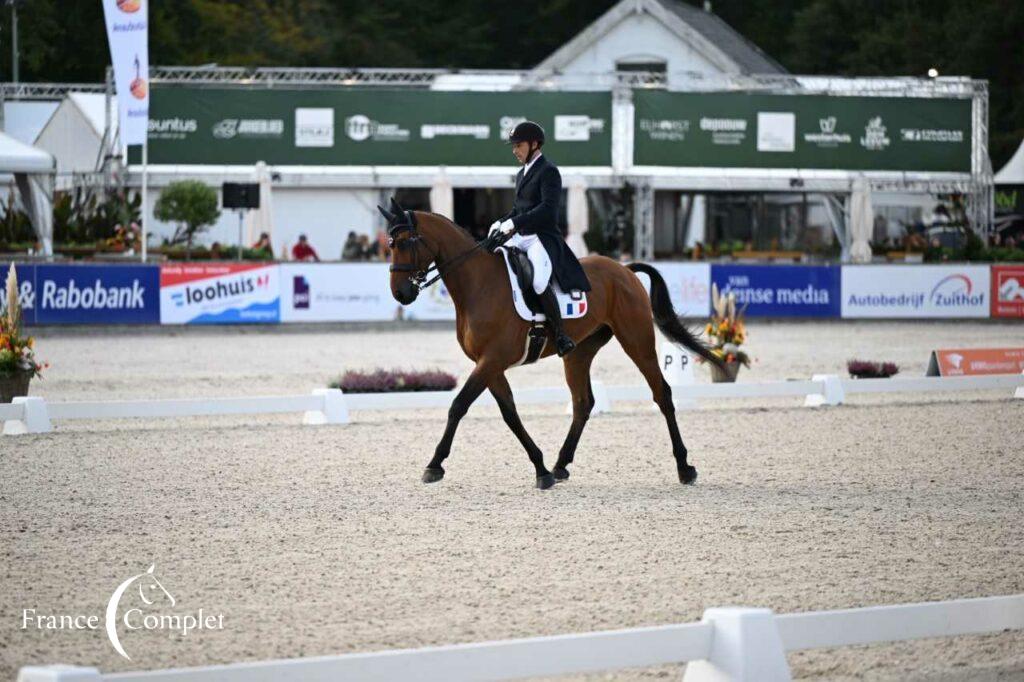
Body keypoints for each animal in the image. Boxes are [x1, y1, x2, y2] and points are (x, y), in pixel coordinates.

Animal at [380, 197, 724, 489]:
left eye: (404, 243)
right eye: (389, 244)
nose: (400, 294)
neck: (477, 284)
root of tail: (624, 269)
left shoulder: (491, 360)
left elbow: (458, 405)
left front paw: (434, 465)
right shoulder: (489, 363)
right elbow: (510, 414)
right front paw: (541, 469)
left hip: (637, 340)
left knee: (662, 394)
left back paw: (685, 468)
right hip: (579, 352)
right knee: (583, 403)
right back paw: (560, 465)